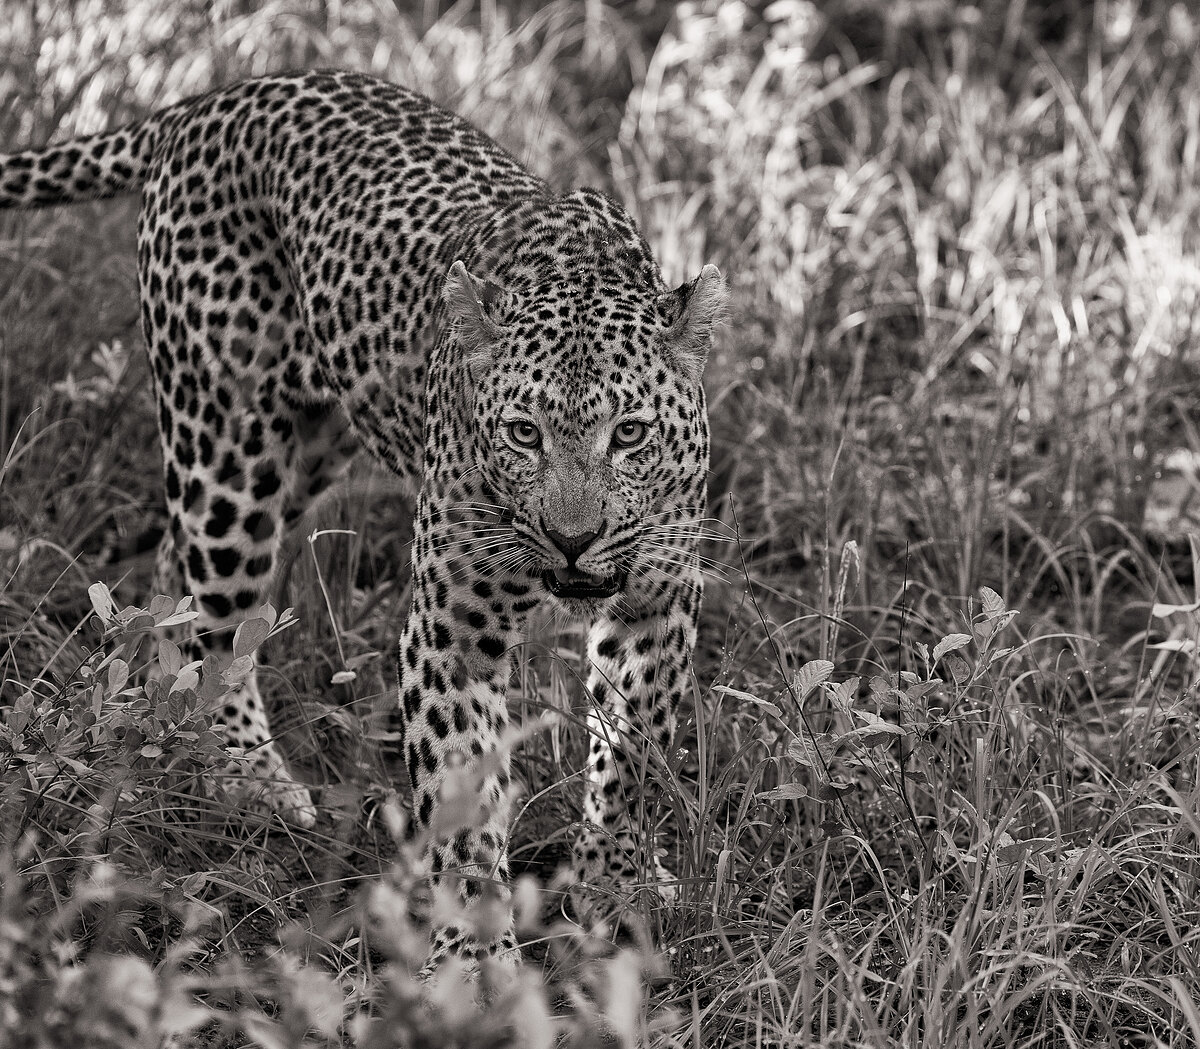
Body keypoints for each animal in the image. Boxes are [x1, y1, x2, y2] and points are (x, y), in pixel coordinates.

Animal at [0, 68, 725, 968]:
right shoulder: (453, 627)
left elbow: (631, 750)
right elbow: (460, 798)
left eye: (630, 433)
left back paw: (174, 722)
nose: (572, 537)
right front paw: (475, 960)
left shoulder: (655, 603)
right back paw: (251, 780)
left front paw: (617, 885)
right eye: (524, 433)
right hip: (227, 448)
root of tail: (211, 100)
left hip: (308, 449)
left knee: (178, 575)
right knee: (222, 611)